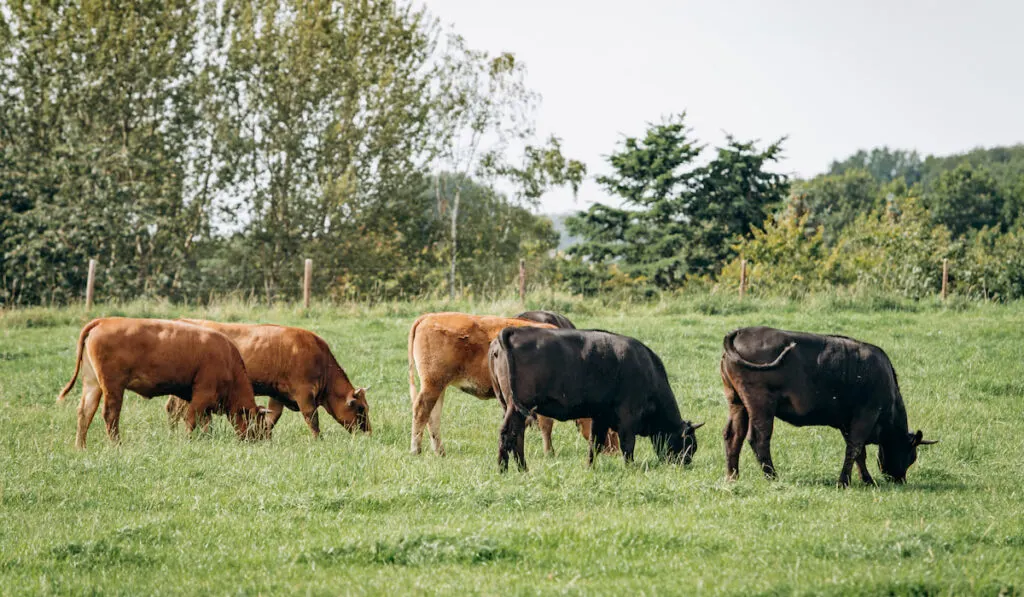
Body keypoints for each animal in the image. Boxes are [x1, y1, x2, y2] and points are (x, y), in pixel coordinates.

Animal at [56, 317, 268, 448]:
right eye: (260, 425)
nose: (263, 441)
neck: (227, 359)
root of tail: (103, 321)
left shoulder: (203, 402)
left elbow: (205, 424)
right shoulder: (202, 395)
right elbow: (191, 420)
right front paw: (188, 441)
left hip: (93, 385)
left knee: (85, 413)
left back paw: (81, 447)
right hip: (113, 387)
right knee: (110, 415)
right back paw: (117, 445)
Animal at [165, 319, 374, 436]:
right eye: (361, 408)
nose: (369, 433)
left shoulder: (278, 394)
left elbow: (272, 418)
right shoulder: (304, 393)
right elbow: (312, 419)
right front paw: (318, 440)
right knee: (177, 410)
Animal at [405, 311, 561, 454]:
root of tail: (429, 316)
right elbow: (546, 424)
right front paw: (549, 453)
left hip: (439, 386)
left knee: (433, 416)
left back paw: (440, 452)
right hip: (433, 384)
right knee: (421, 410)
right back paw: (416, 450)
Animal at [489, 327, 700, 471]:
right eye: (689, 446)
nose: (685, 465)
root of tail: (512, 332)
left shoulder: (601, 416)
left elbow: (595, 444)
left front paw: (589, 467)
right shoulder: (628, 417)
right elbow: (627, 445)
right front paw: (630, 468)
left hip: (511, 407)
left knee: (516, 436)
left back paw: (520, 469)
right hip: (518, 407)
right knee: (508, 434)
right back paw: (504, 469)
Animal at [720, 327, 937, 485]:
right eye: (911, 456)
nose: (900, 480)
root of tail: (741, 331)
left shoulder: (847, 422)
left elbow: (859, 453)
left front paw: (865, 480)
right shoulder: (866, 414)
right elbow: (855, 449)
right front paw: (845, 482)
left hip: (737, 402)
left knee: (734, 436)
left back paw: (732, 477)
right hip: (761, 404)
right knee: (759, 438)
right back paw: (772, 477)